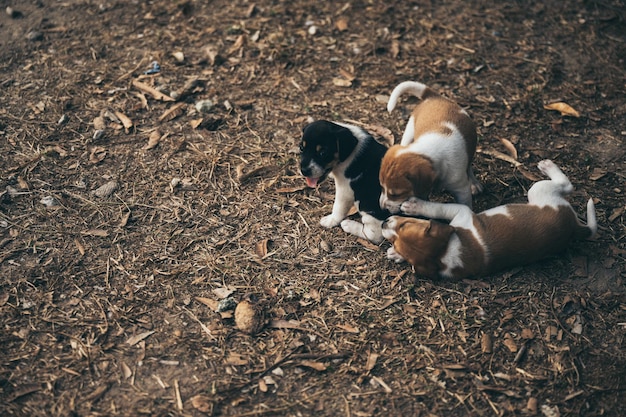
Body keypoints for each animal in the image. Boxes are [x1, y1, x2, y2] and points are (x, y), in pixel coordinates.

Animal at [378, 80, 480, 211]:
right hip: (408, 134)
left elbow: (465, 204)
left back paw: (474, 183)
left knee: (469, 166)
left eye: (396, 194)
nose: (382, 207)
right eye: (381, 187)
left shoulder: (461, 189)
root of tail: (434, 97)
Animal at [380, 160, 596, 280]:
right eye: (394, 241)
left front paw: (413, 205)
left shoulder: (462, 211)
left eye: (407, 223)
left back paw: (547, 165)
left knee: (567, 185)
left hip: (539, 190)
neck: (445, 253)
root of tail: (574, 228)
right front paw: (395, 254)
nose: (383, 223)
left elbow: (436, 207)